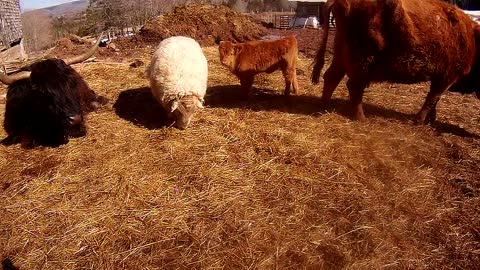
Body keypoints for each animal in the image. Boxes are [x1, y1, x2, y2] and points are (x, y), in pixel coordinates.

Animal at [312, 0, 480, 124]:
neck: (472, 37)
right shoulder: (447, 76)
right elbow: (432, 98)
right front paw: (419, 121)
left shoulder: (441, 77)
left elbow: (435, 99)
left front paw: (430, 120)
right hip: (363, 63)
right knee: (353, 86)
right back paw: (361, 119)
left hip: (341, 57)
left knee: (331, 77)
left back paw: (323, 107)